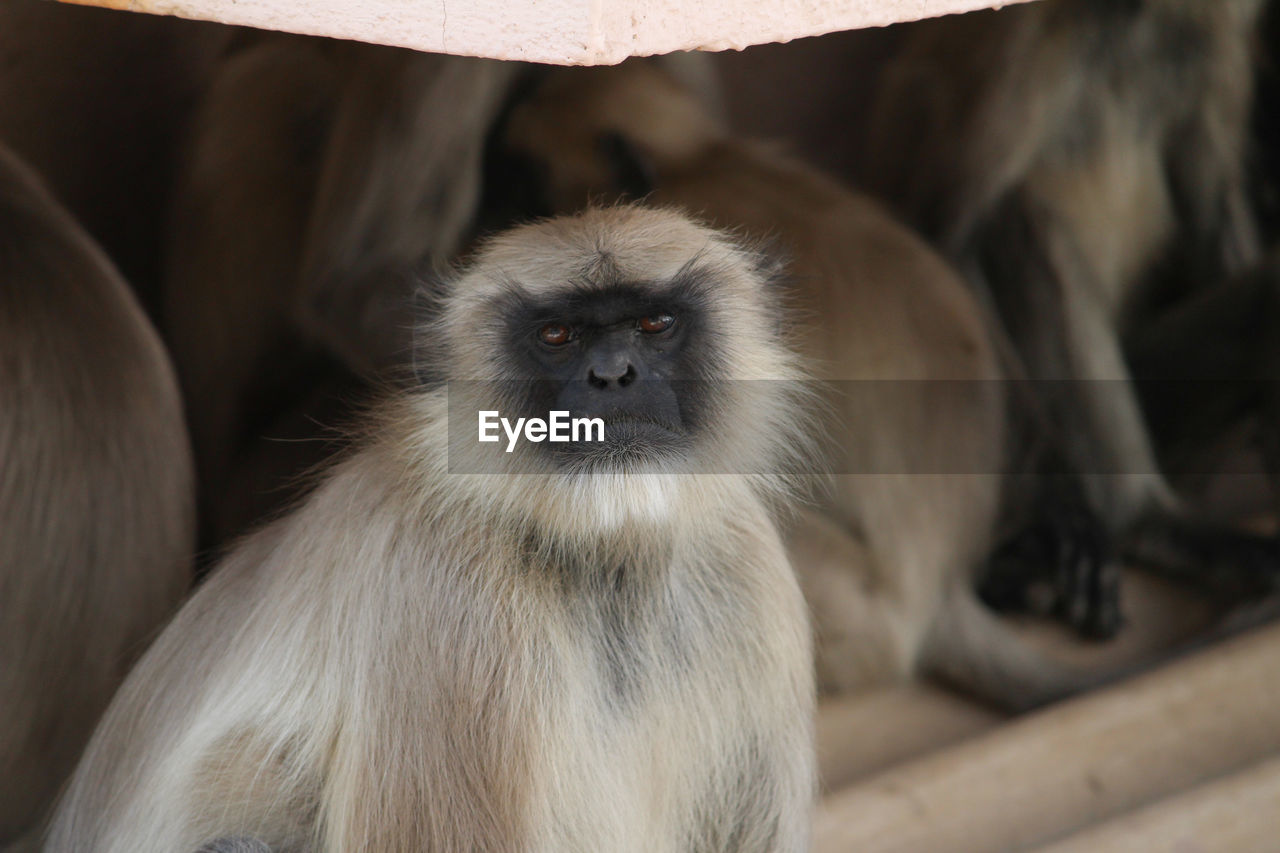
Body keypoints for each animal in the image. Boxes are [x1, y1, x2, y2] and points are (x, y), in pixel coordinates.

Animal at [47, 207, 819, 850]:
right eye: (557, 335)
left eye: (656, 325)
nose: (613, 375)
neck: (601, 559)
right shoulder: (449, 598)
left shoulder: (748, 561)